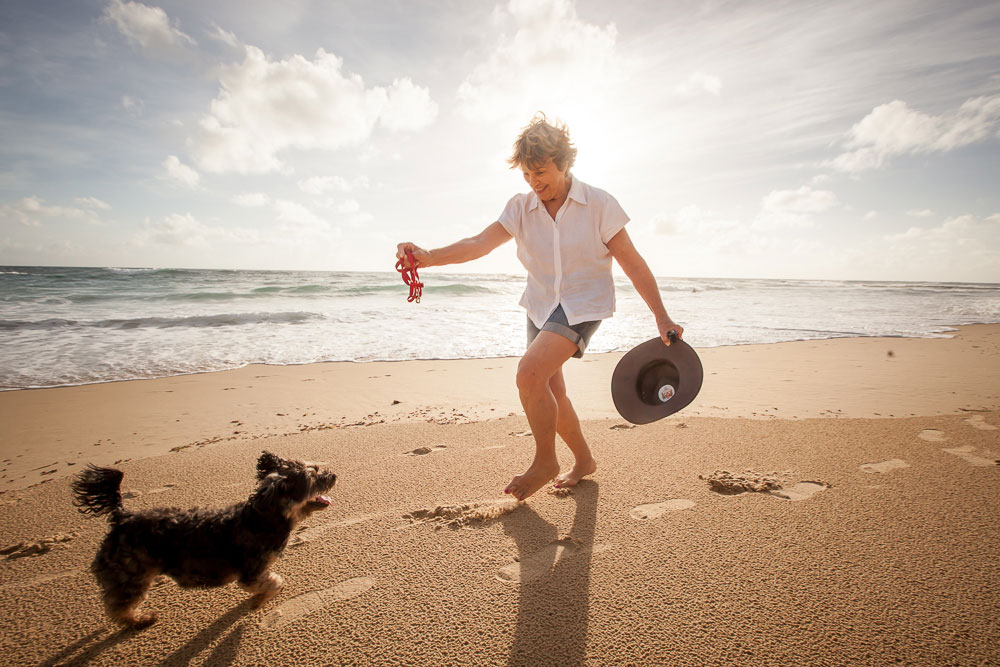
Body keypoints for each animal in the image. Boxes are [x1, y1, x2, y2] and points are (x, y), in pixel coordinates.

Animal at [72, 452, 336, 628]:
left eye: (316, 468)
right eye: (314, 477)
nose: (333, 474)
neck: (264, 519)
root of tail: (122, 516)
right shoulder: (251, 572)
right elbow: (275, 583)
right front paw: (258, 602)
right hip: (131, 574)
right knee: (119, 606)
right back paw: (139, 620)